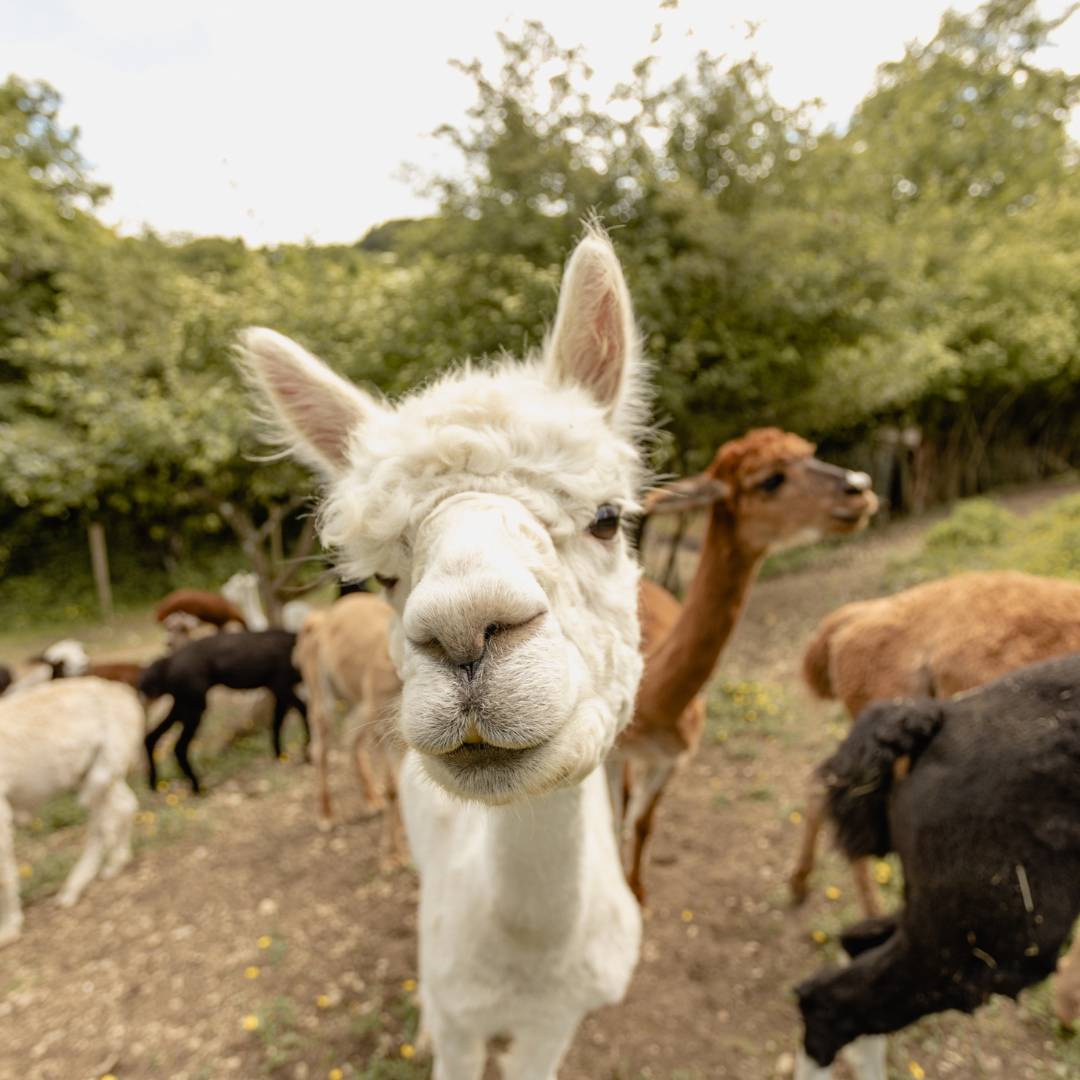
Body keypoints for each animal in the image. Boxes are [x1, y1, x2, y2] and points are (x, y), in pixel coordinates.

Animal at [0, 678, 143, 946]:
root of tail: (123, 693)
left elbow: (4, 873)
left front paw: (10, 928)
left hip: (101, 770)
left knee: (106, 818)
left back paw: (74, 887)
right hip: (92, 773)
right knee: (125, 805)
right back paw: (115, 862)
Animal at [138, 630, 308, 793]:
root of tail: (168, 663)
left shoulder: (276, 690)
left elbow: (277, 722)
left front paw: (279, 756)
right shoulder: (281, 685)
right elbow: (303, 709)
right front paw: (306, 751)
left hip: (182, 705)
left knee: (151, 737)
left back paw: (153, 784)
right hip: (194, 707)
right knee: (179, 746)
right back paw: (198, 788)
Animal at [293, 593, 403, 861]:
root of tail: (322, 618)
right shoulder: (386, 729)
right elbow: (394, 788)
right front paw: (392, 855)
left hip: (359, 704)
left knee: (352, 739)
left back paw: (371, 799)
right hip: (322, 696)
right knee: (321, 750)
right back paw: (326, 815)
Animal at [617, 429, 878, 901]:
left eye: (811, 451)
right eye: (769, 479)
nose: (859, 487)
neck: (654, 707)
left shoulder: (674, 758)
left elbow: (645, 824)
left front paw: (639, 896)